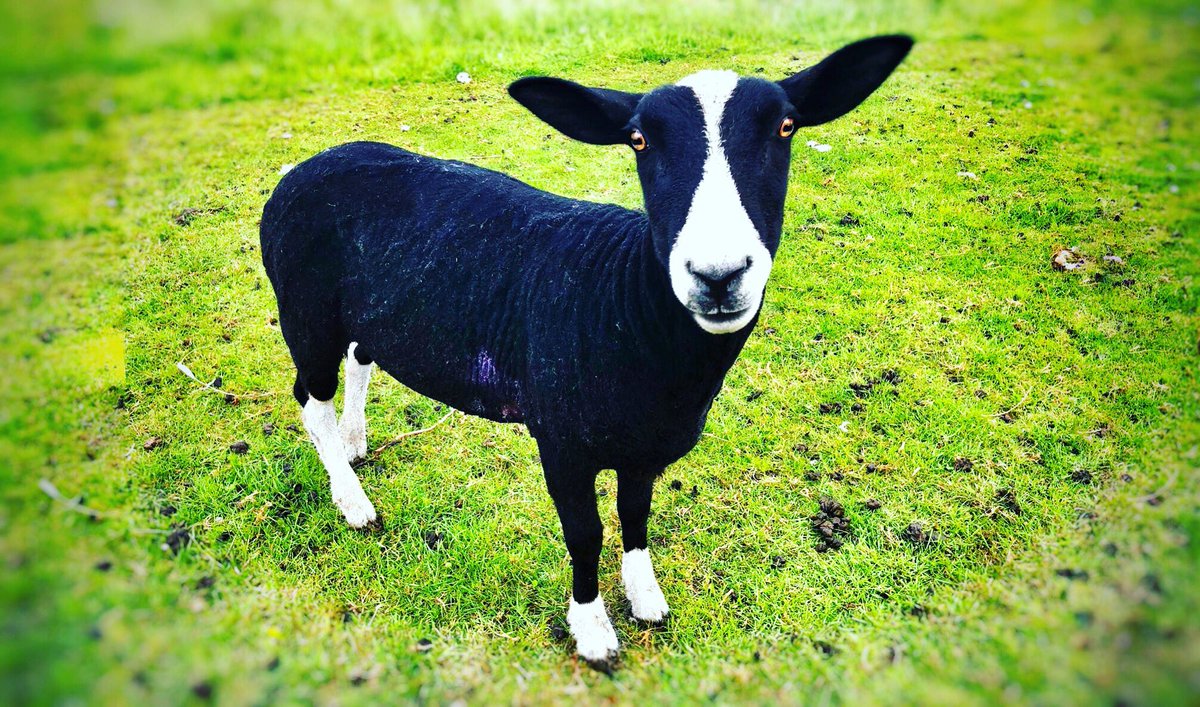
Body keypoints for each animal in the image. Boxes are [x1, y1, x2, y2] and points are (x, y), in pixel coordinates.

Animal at [260, 34, 913, 666]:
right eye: (639, 140)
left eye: (786, 127)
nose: (718, 275)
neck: (626, 306)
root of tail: (307, 165)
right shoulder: (562, 442)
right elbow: (587, 534)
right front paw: (593, 629)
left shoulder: (645, 447)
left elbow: (635, 514)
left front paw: (646, 598)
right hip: (305, 310)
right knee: (310, 398)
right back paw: (352, 499)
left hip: (365, 312)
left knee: (360, 358)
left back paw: (355, 445)